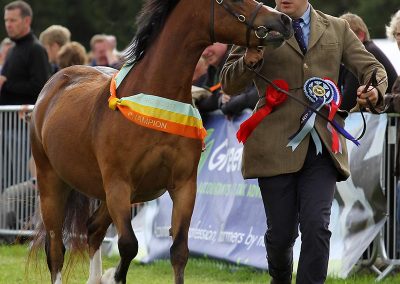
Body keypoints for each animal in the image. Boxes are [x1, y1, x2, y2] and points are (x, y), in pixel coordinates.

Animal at [28, 0, 290, 284]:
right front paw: (115, 275)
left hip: (105, 194)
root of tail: (54, 84)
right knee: (56, 248)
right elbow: (128, 245)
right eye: (232, 0)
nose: (283, 21)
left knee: (94, 230)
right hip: (53, 183)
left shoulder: (183, 186)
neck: (157, 98)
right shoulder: (119, 185)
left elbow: (179, 251)